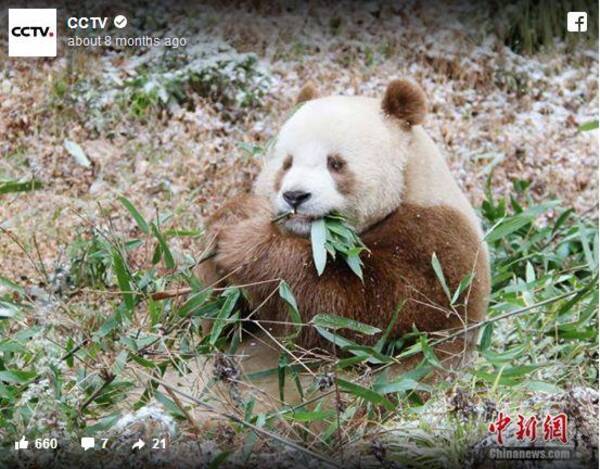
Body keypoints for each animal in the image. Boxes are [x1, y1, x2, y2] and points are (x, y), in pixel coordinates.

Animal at [199, 80, 490, 366]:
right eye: (287, 163)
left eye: (336, 163)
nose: (295, 196)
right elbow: (219, 320)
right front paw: (235, 216)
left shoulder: (436, 245)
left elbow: (358, 316)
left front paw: (246, 243)